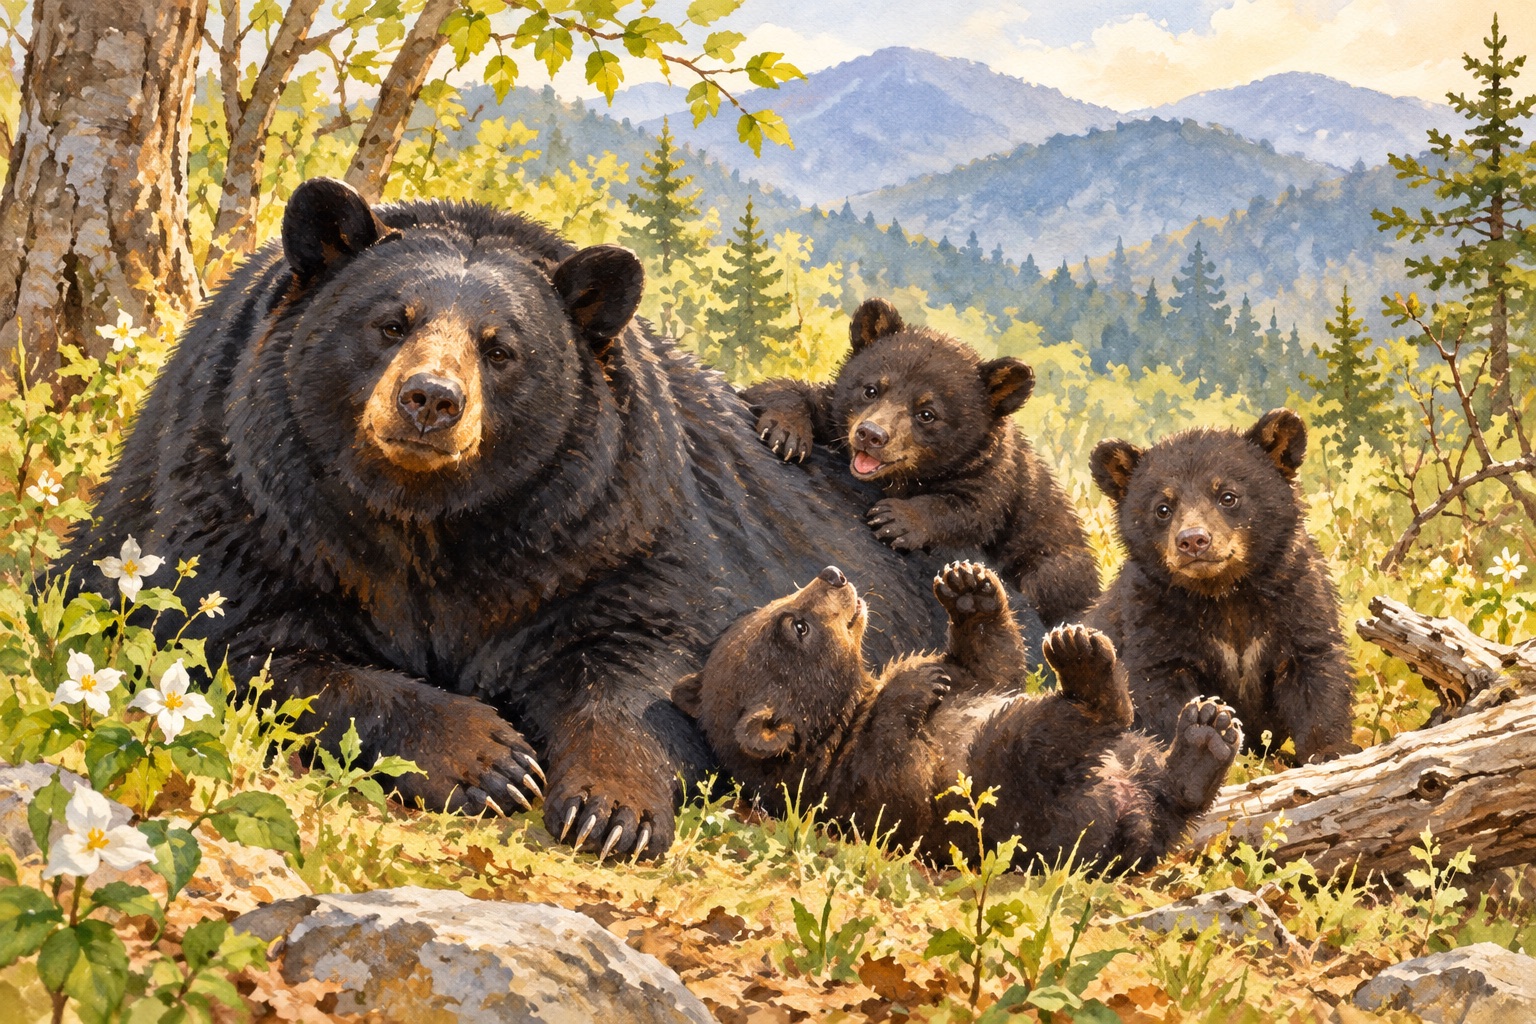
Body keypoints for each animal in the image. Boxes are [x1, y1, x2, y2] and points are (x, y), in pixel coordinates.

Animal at [57, 177, 1016, 861]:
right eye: (390, 321)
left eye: (502, 348)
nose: (430, 400)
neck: (429, 518)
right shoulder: (244, 495)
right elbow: (238, 638)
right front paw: (488, 757)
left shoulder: (605, 522)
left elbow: (643, 658)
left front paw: (612, 805)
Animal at [672, 560, 1241, 872]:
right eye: (797, 626)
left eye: (770, 606)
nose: (832, 574)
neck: (844, 716)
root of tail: (1129, 822)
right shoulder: (851, 785)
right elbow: (899, 776)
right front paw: (916, 681)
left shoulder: (967, 685)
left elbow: (989, 668)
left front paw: (969, 590)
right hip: (1019, 796)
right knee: (1044, 736)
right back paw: (1084, 662)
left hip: (1118, 774)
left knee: (1158, 781)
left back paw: (1204, 738)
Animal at [739, 298, 1100, 627]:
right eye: (871, 389)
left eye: (927, 413)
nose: (871, 434)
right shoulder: (835, 419)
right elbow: (784, 390)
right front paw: (787, 431)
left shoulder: (995, 476)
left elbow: (972, 509)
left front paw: (897, 519)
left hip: (1060, 563)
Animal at [1088, 408, 1356, 764]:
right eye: (1163, 507)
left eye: (1228, 496)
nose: (1193, 540)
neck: (1224, 594)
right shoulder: (1151, 616)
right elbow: (1160, 685)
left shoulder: (1297, 596)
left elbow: (1314, 667)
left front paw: (1330, 750)